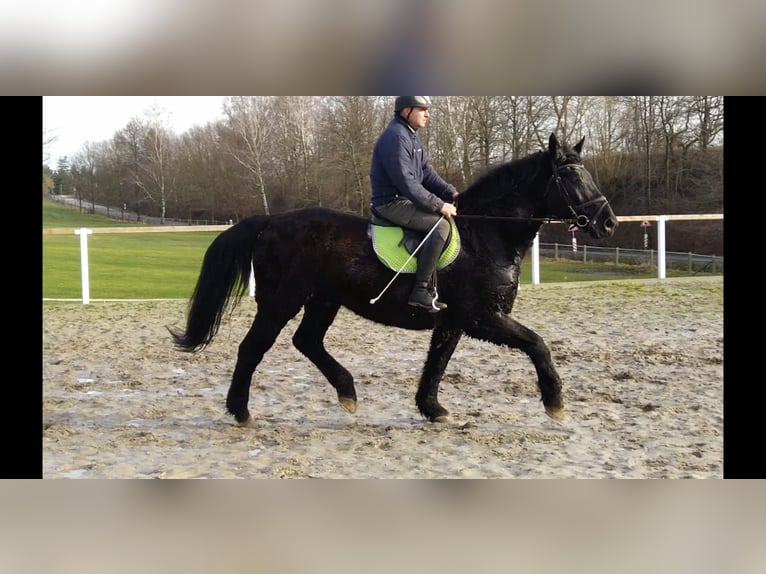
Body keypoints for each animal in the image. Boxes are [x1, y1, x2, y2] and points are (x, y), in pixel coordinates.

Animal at [171, 134, 620, 428]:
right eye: (571, 177)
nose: (608, 223)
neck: (485, 235)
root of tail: (270, 221)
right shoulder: (483, 317)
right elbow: (537, 344)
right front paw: (555, 402)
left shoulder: (453, 321)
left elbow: (437, 363)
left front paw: (431, 409)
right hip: (282, 302)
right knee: (253, 348)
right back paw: (241, 411)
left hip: (323, 301)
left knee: (307, 341)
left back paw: (347, 393)